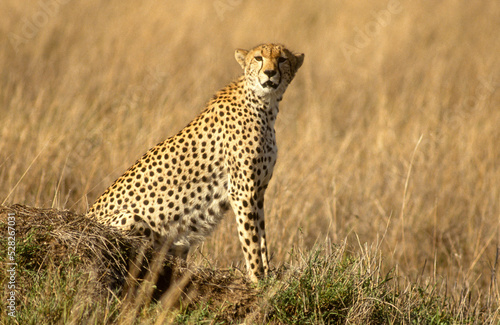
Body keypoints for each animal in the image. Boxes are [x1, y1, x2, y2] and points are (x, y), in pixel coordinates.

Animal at [86, 43, 302, 280]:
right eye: (258, 58)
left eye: (282, 59)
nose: (270, 73)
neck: (265, 104)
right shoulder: (242, 192)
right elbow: (251, 241)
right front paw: (257, 279)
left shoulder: (259, 191)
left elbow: (262, 237)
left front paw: (268, 276)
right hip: (132, 219)